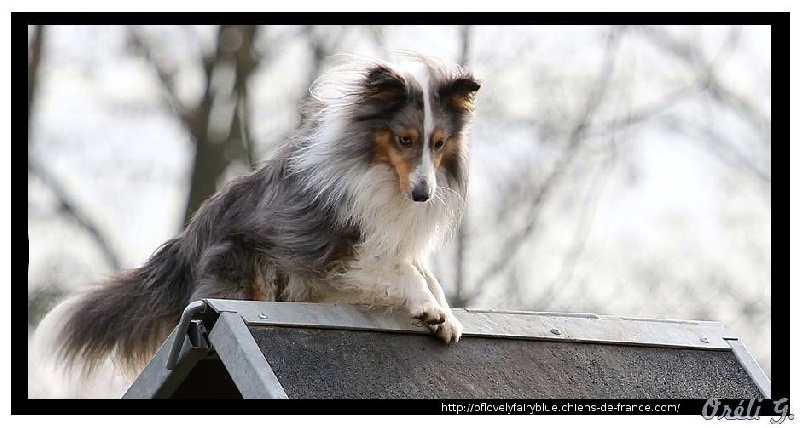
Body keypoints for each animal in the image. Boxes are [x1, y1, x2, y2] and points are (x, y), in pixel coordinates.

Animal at [29, 53, 481, 397]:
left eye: (438, 143)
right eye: (405, 139)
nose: (422, 194)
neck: (378, 169)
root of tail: (186, 242)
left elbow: (427, 275)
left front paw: (446, 316)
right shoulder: (337, 250)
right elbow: (405, 272)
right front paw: (428, 309)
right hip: (245, 272)